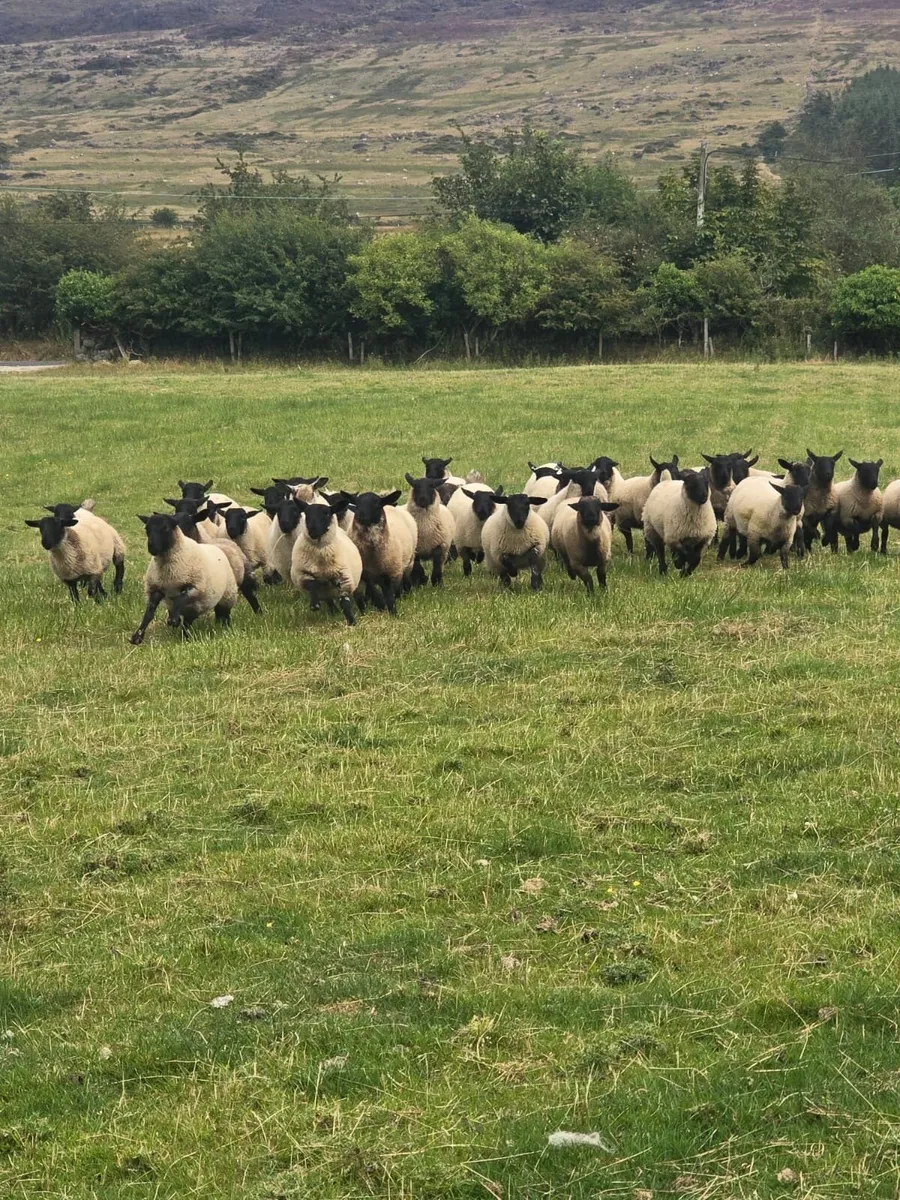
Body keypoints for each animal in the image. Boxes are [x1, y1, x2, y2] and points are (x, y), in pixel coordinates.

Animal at [130, 513, 238, 643]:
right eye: (147, 529)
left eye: (165, 528)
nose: (151, 547)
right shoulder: (156, 588)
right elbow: (149, 613)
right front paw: (137, 636)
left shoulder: (195, 587)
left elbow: (179, 599)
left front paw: (173, 620)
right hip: (196, 606)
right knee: (188, 621)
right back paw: (185, 635)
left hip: (225, 595)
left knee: (223, 614)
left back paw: (223, 628)